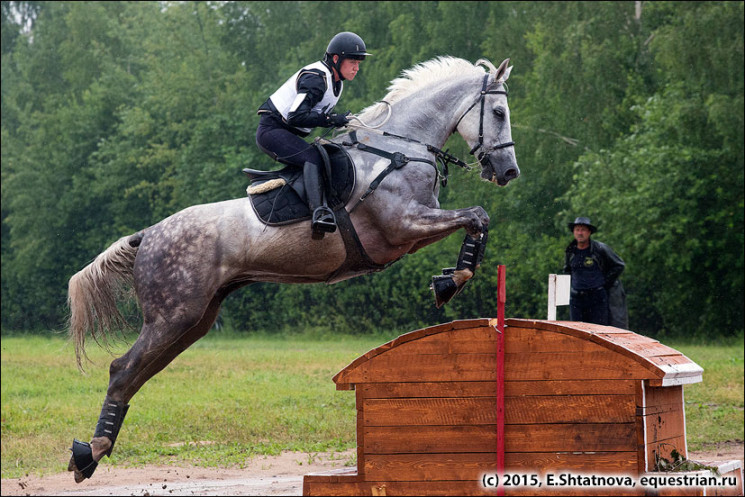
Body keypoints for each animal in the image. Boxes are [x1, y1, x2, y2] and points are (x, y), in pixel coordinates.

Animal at [67, 57, 516, 480]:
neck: (398, 149)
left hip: (192, 321)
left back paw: (92, 451)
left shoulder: (411, 233)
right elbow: (477, 215)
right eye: (498, 112)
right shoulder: (402, 226)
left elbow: (478, 219)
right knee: (122, 370)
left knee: (136, 374)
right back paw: (90, 453)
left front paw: (449, 279)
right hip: (172, 317)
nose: (508, 172)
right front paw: (450, 282)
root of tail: (149, 234)